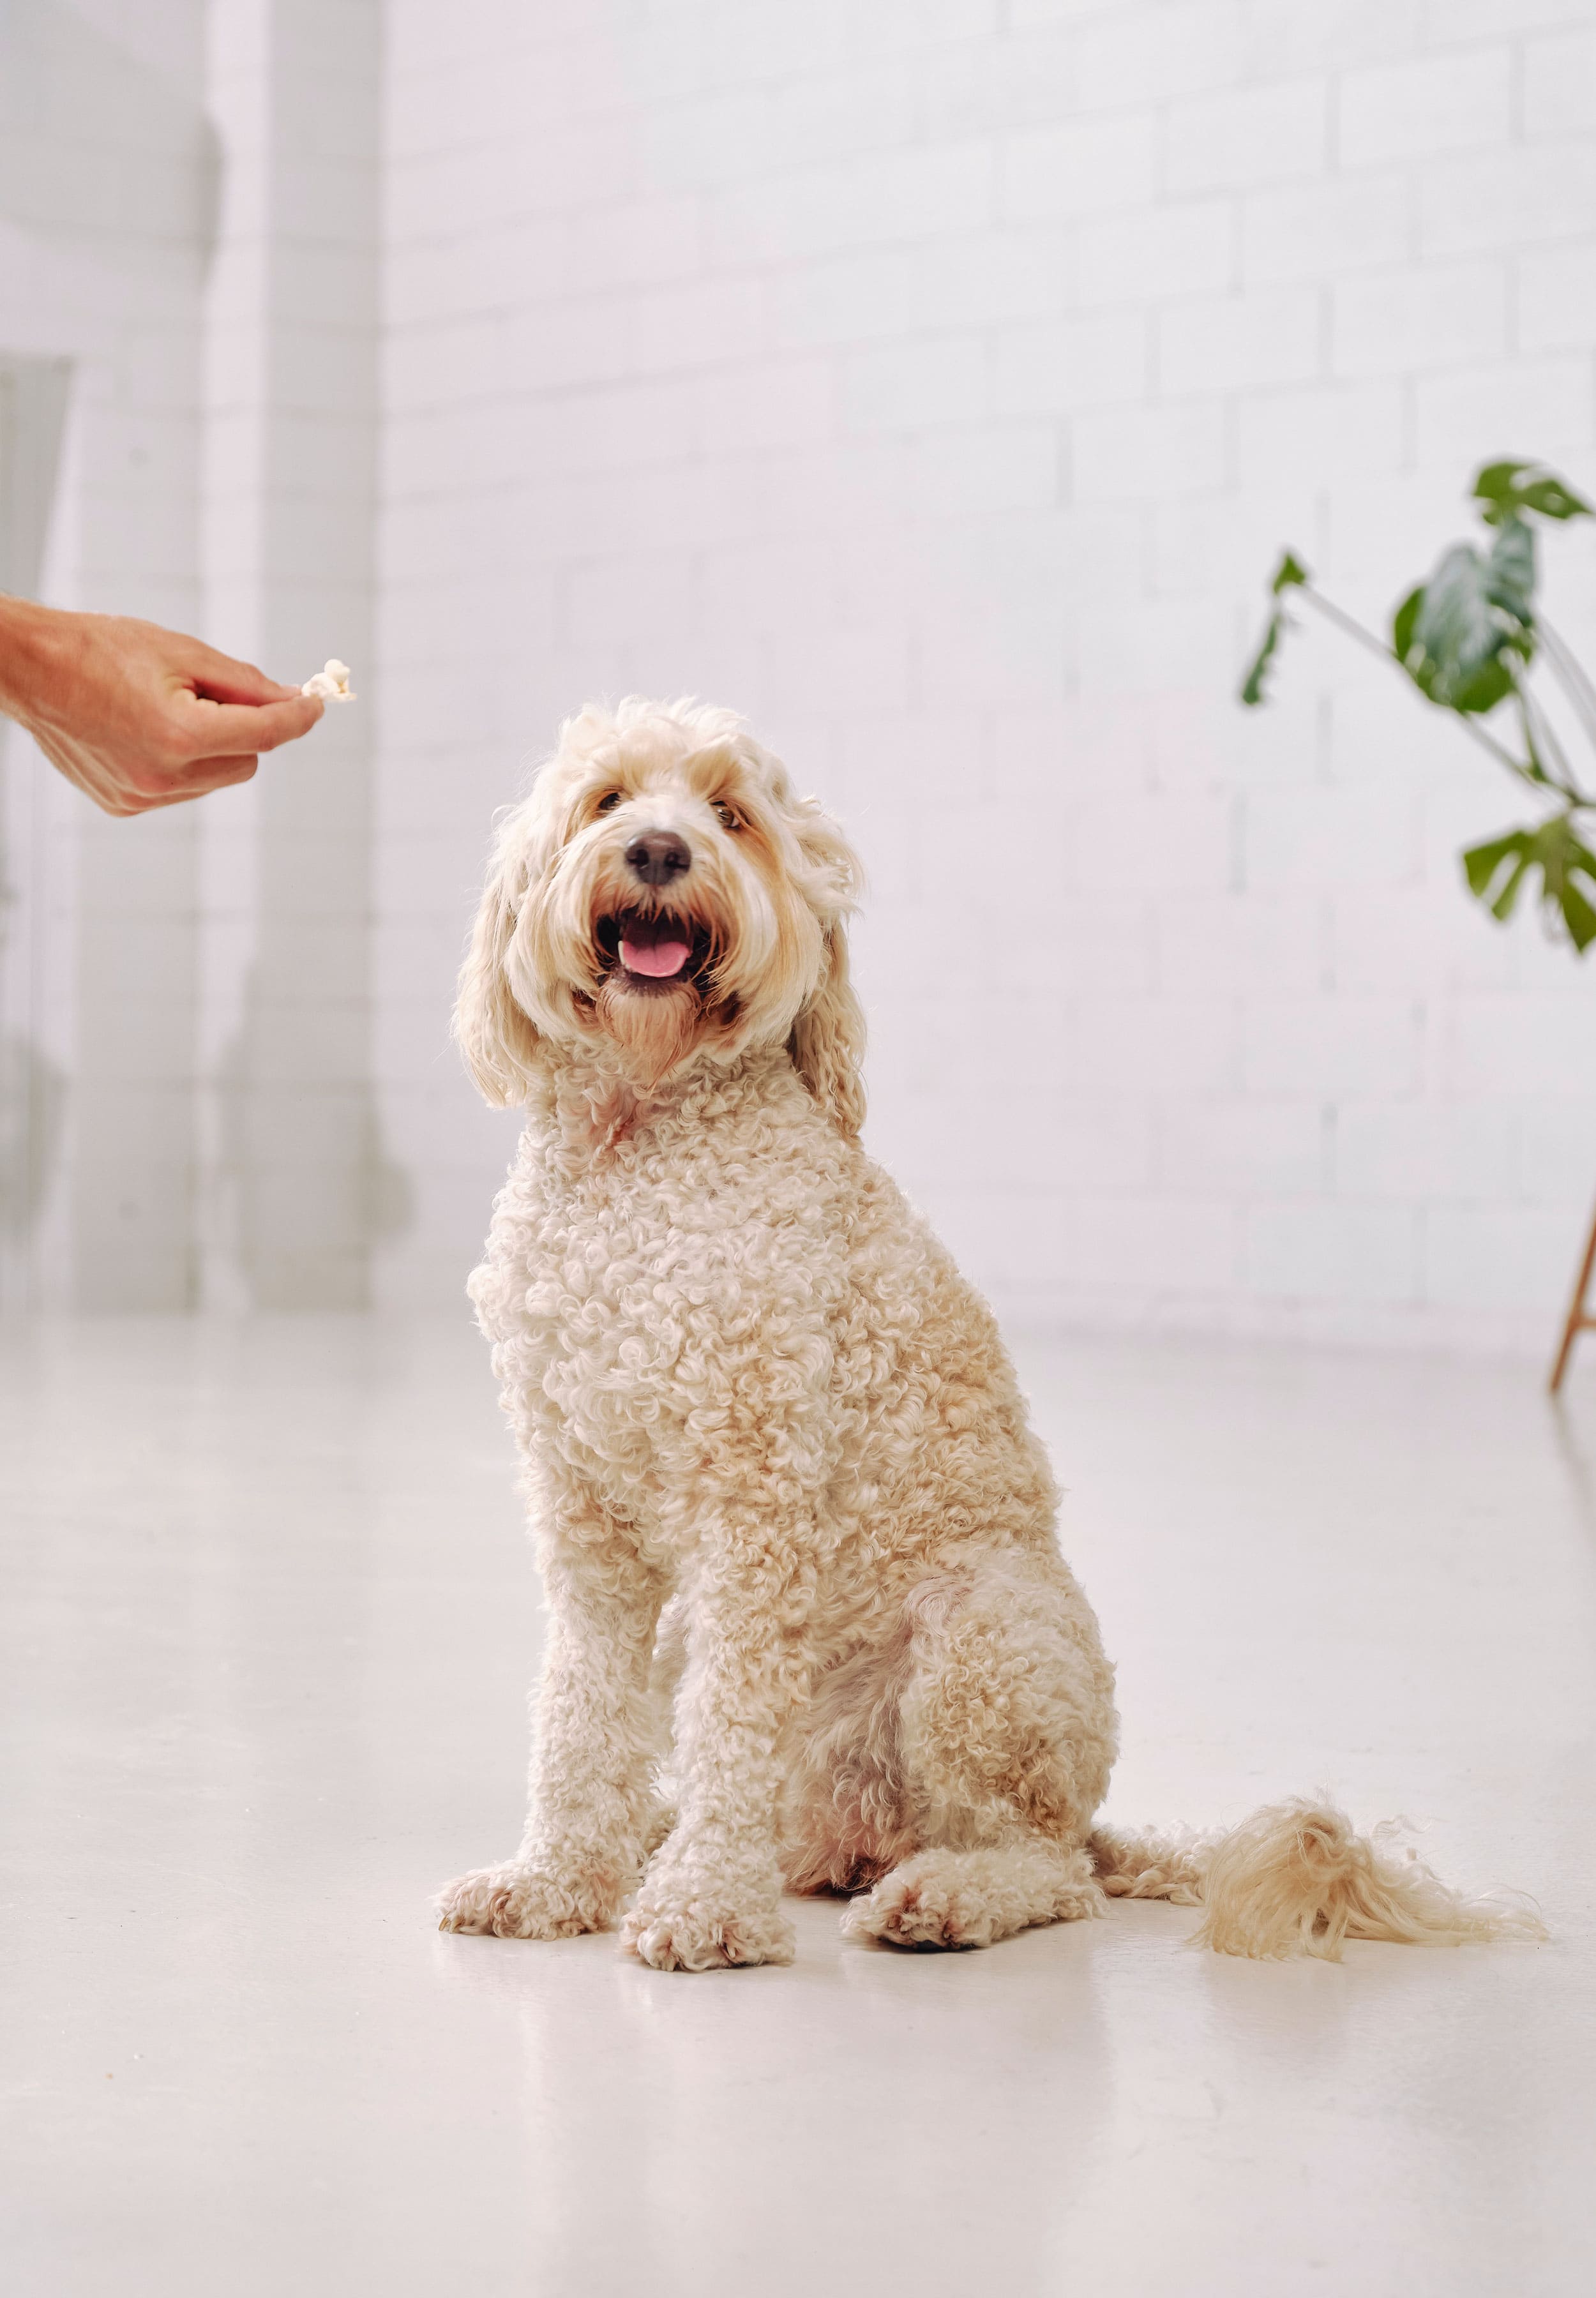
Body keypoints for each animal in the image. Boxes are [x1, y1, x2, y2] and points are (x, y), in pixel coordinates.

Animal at [437, 698, 1536, 1976]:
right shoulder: (583, 1513)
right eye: (607, 801)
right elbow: (578, 1714)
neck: (640, 1139)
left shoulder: (755, 1505)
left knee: (1048, 1867)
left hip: (983, 1639)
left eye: (730, 814)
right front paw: (557, 1878)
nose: (660, 851)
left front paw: (705, 1905)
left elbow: (728, 1721)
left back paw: (938, 1896)